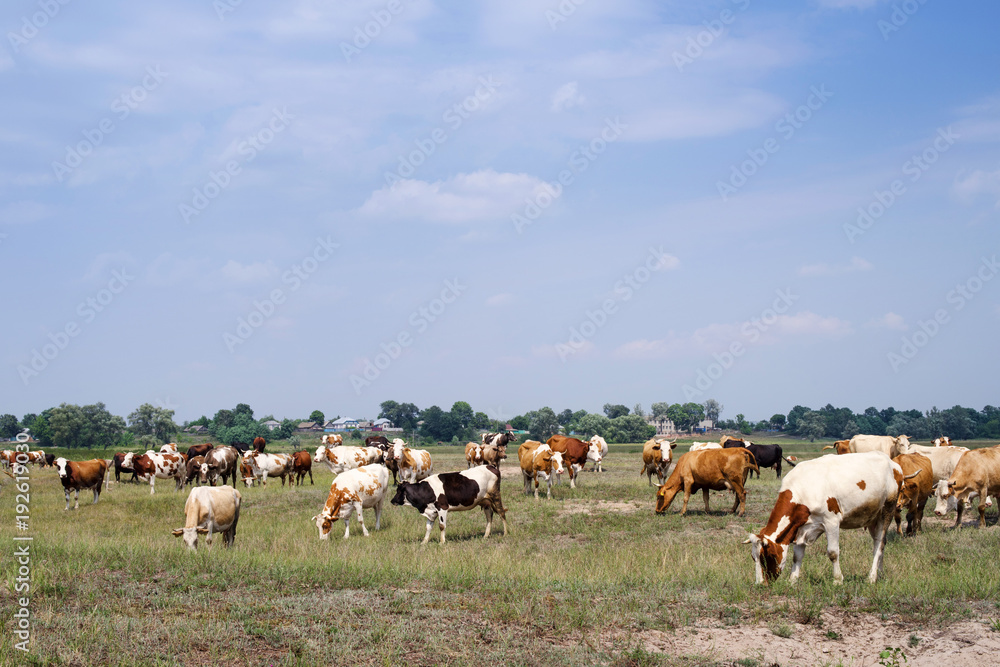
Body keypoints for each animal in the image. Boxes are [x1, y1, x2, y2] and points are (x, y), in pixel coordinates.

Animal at [744, 451, 902, 585]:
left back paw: (871, 577)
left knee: (879, 544)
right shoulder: (801, 528)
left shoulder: (831, 522)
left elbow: (833, 553)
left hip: (887, 511)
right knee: (880, 543)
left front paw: (837, 580)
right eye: (753, 557)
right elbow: (797, 556)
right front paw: (792, 580)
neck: (804, 488)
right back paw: (879, 574)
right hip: (872, 518)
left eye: (767, 556)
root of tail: (892, 463)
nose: (760, 584)